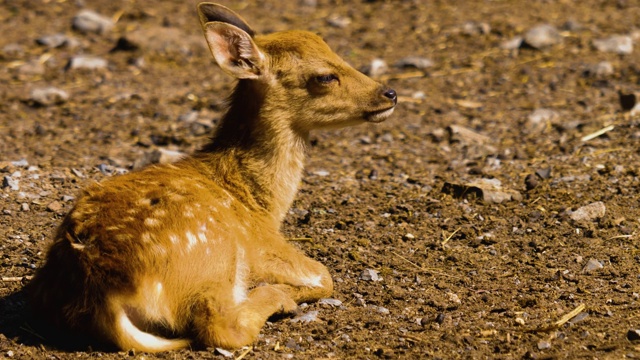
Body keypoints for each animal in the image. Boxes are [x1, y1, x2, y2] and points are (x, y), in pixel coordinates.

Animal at [28, 2, 396, 352]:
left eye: (338, 54)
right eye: (324, 76)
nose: (390, 93)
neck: (259, 203)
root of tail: (106, 299)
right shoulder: (263, 246)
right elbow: (324, 275)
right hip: (215, 256)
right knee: (220, 326)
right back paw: (275, 297)